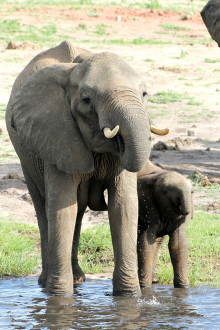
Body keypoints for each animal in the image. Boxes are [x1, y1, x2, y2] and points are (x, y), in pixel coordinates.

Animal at [5, 41, 167, 296]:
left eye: (144, 94)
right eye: (87, 100)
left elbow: (123, 206)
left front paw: (129, 297)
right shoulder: (56, 134)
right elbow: (62, 208)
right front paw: (59, 297)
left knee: (79, 209)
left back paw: (78, 279)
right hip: (26, 156)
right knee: (44, 207)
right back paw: (48, 282)